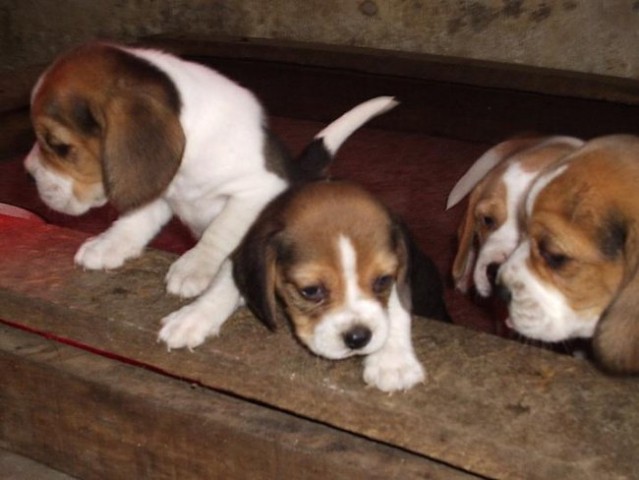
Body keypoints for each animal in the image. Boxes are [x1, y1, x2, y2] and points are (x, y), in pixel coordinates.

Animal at [22, 43, 396, 302]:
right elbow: (135, 220)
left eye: (58, 145)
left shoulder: (254, 192)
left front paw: (193, 266)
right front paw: (109, 244)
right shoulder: (161, 187)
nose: (27, 172)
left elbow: (220, 230)